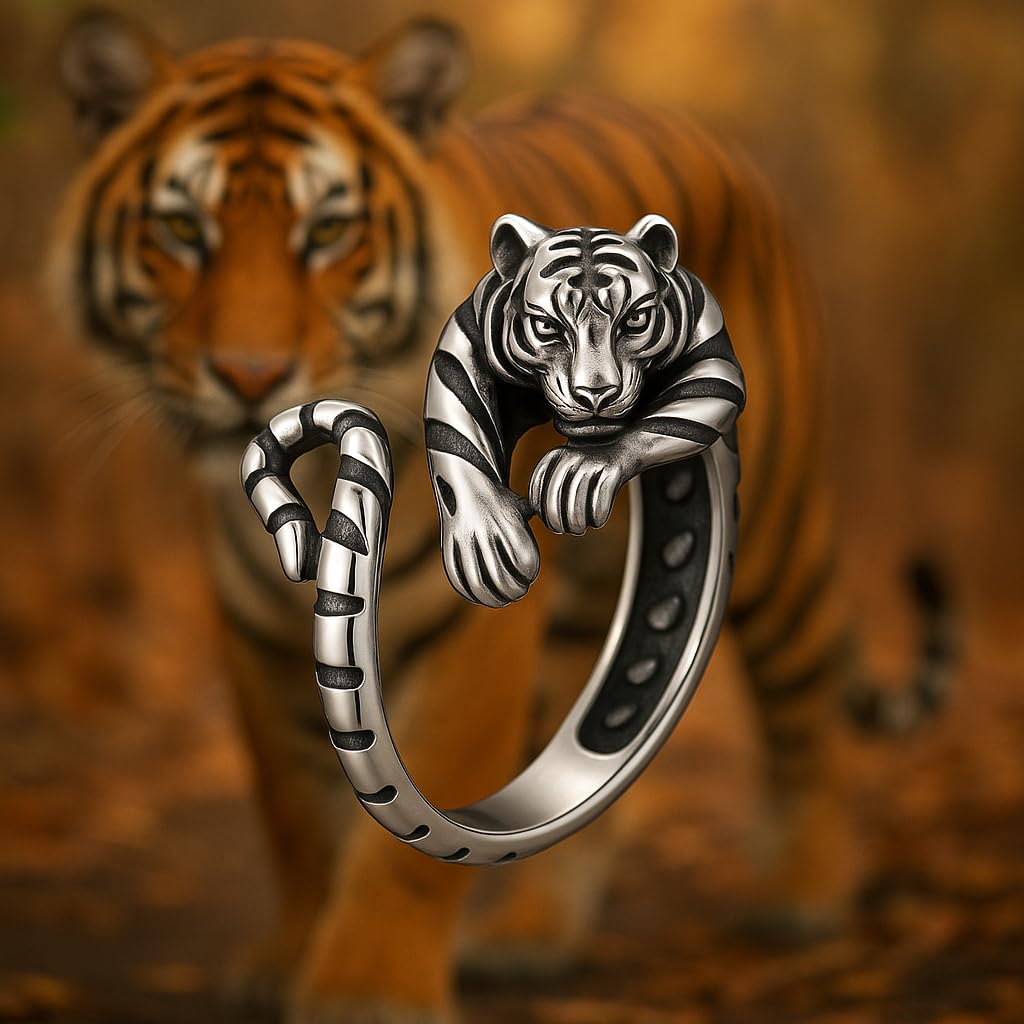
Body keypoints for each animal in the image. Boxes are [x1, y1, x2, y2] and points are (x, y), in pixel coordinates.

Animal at [50, 10, 953, 1024]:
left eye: (329, 232)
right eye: (179, 228)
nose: (252, 377)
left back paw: (803, 894)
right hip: (584, 618)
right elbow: (293, 811)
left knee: (805, 706)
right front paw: (288, 959)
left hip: (775, 538)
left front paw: (367, 990)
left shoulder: (469, 645)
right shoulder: (254, 635)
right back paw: (532, 935)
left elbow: (409, 846)